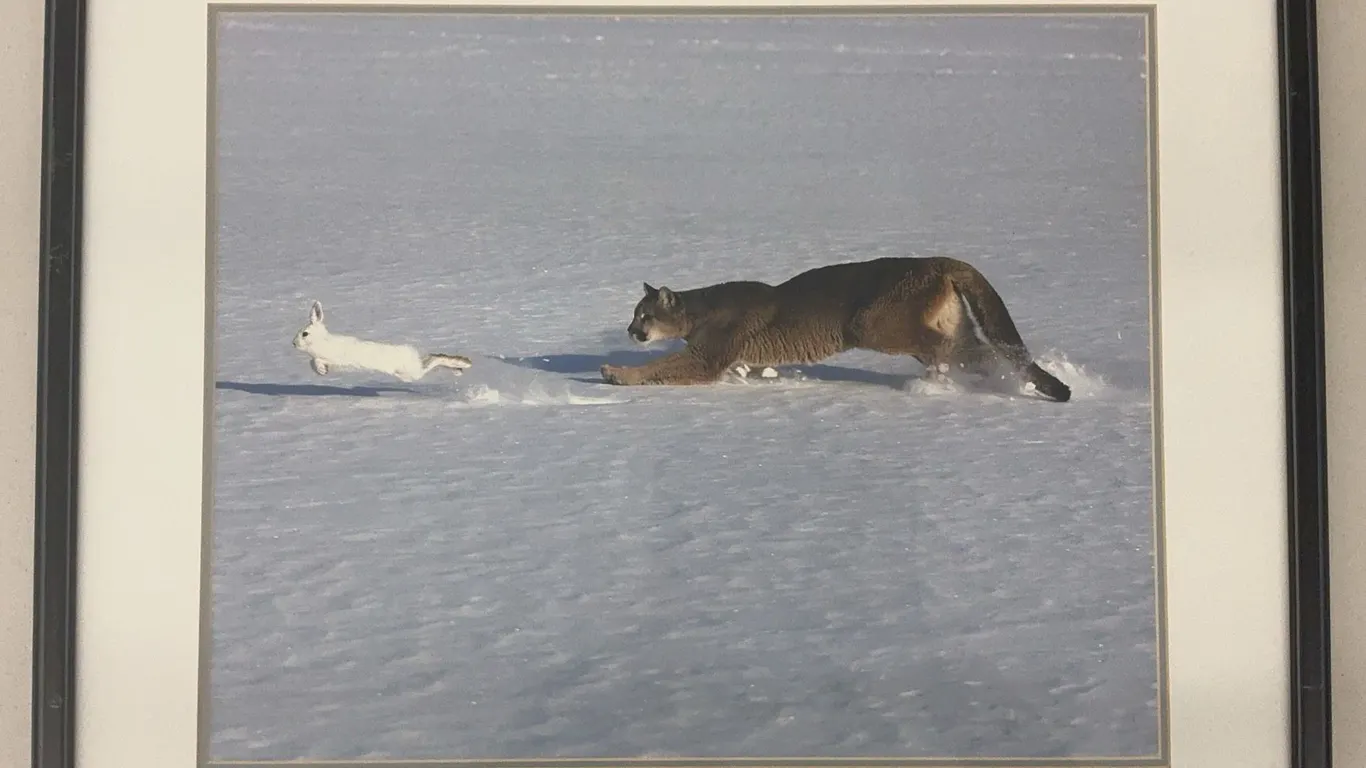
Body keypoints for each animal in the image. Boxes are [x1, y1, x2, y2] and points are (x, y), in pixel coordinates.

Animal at [291, 300, 473, 382]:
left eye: (305, 334)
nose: (293, 343)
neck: (322, 341)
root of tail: (412, 353)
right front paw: (323, 372)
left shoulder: (331, 357)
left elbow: (316, 361)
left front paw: (321, 370)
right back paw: (458, 369)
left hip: (410, 373)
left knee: (434, 361)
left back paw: (463, 364)